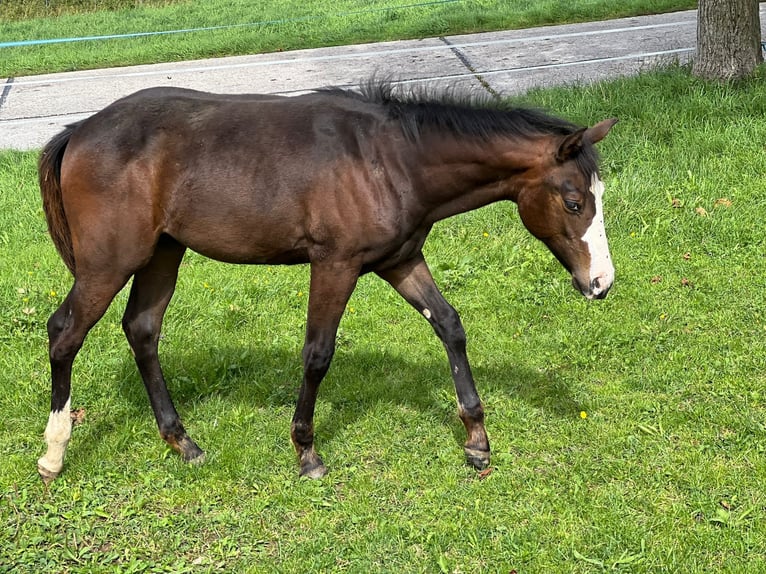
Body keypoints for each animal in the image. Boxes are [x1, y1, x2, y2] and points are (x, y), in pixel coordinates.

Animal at [36, 82, 617, 483]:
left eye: (598, 196)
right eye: (573, 202)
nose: (601, 283)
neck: (390, 159)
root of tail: (78, 131)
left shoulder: (401, 261)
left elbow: (450, 326)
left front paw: (476, 439)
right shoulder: (335, 265)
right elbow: (318, 353)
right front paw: (306, 451)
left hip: (162, 253)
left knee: (142, 329)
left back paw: (183, 442)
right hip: (109, 264)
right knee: (64, 331)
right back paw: (54, 452)